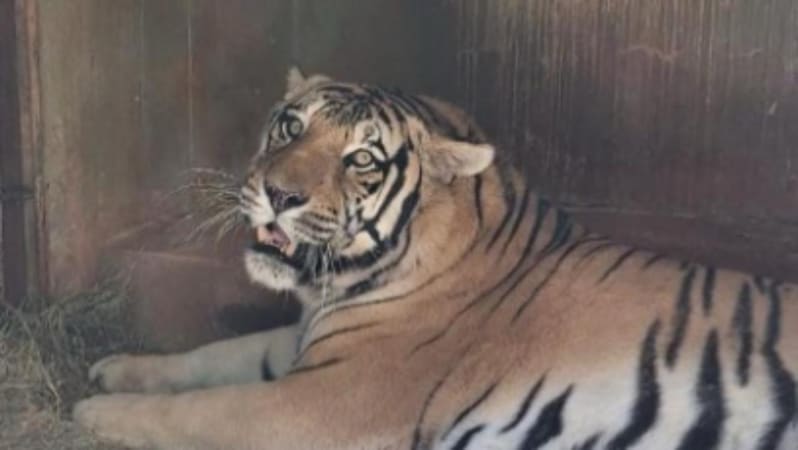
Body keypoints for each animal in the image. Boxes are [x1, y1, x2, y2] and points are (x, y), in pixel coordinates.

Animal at [74, 67, 798, 450]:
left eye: (361, 159)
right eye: (291, 126)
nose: (278, 195)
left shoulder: (322, 403)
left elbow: (201, 410)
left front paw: (95, 415)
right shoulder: (305, 345)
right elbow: (209, 357)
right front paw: (117, 369)